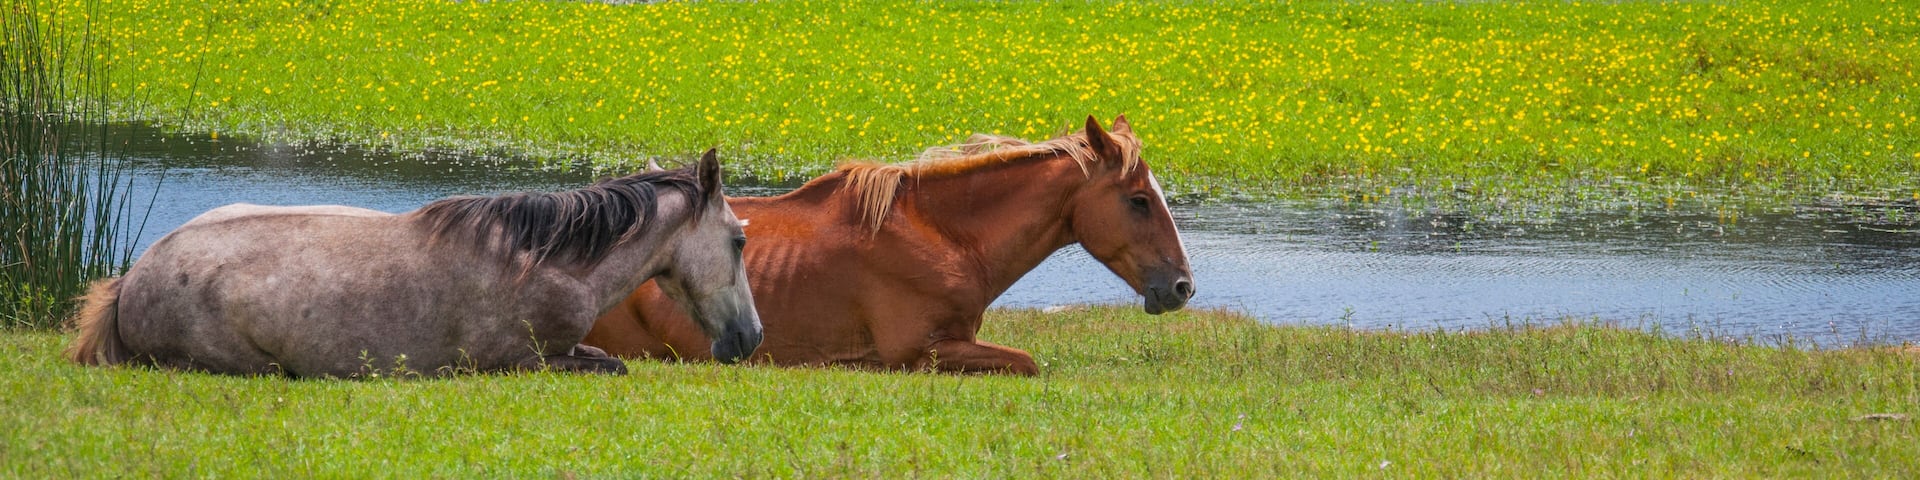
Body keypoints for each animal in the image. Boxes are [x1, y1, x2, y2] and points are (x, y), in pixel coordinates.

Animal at [64, 150, 762, 378]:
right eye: (738, 241)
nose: (751, 337)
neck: (548, 261)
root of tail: (134, 278)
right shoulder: (519, 361)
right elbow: (612, 365)